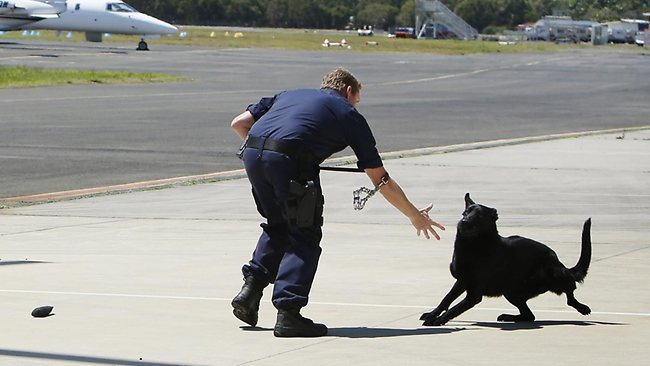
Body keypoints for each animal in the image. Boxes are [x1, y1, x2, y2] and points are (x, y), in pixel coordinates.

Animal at [418, 194, 588, 326]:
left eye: (479, 216)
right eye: (464, 213)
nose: (463, 222)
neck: (474, 245)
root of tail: (560, 263)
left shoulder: (473, 295)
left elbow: (455, 308)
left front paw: (438, 320)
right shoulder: (461, 282)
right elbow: (446, 299)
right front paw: (433, 314)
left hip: (556, 275)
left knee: (570, 295)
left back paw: (581, 307)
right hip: (511, 292)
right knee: (529, 316)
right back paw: (509, 317)